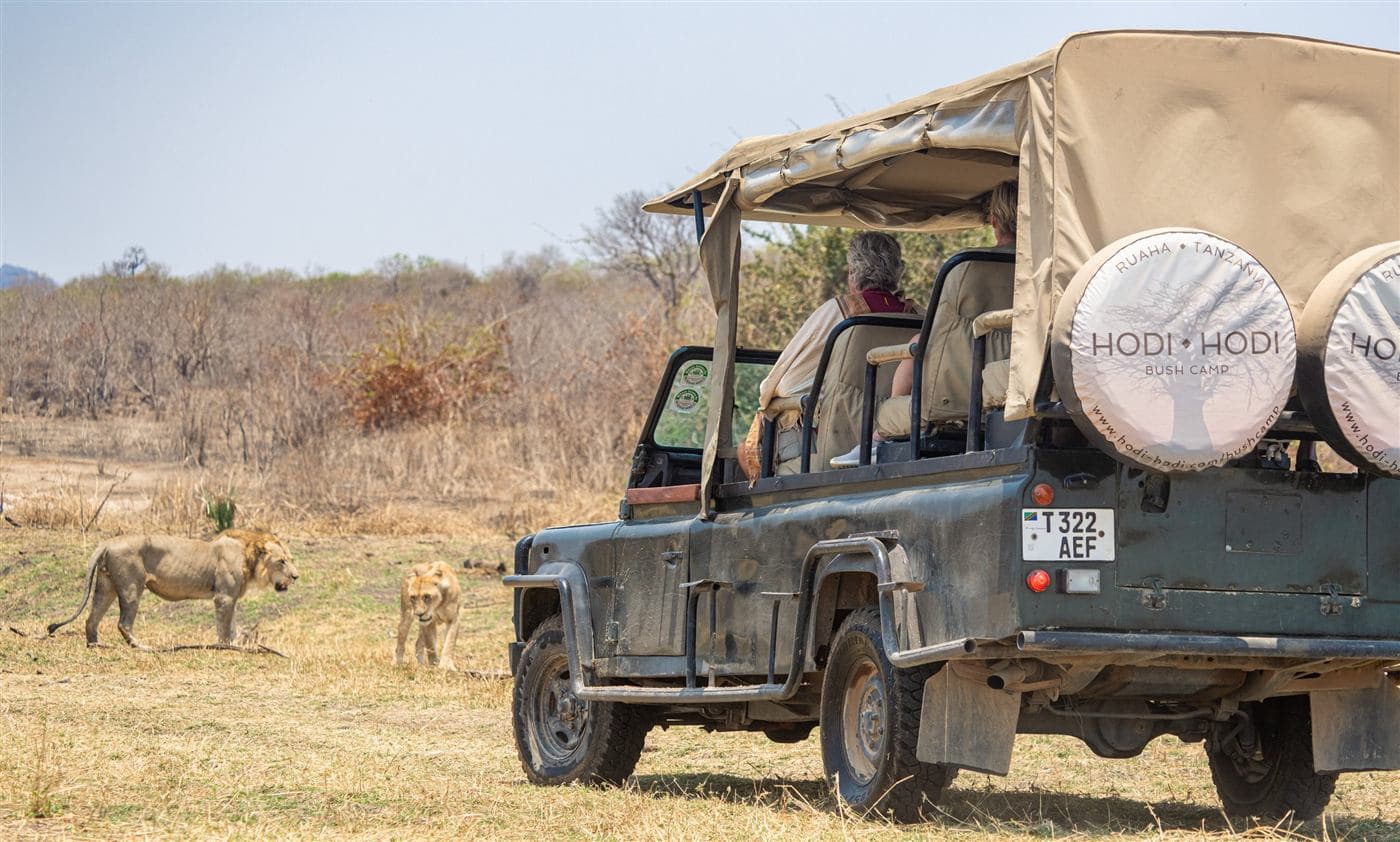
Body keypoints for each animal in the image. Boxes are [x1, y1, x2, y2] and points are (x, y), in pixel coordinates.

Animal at [46, 529, 298, 649]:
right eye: (281, 561)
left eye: (291, 559)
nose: (296, 576)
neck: (250, 557)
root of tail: (106, 543)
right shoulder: (224, 597)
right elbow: (224, 628)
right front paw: (226, 647)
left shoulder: (230, 598)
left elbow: (233, 626)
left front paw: (234, 646)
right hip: (131, 587)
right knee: (123, 623)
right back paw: (141, 646)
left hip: (106, 586)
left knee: (91, 619)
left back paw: (96, 646)